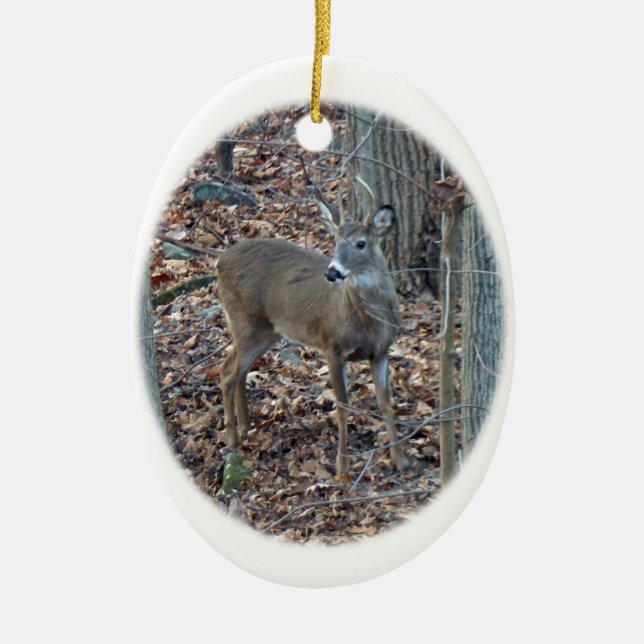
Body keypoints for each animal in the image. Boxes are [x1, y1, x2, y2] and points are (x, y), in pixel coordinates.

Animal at [216, 191, 409, 478]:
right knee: (227, 371)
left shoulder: (382, 351)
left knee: (239, 369)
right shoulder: (331, 345)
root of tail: (219, 261)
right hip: (246, 323)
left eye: (361, 243)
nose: (332, 272)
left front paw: (400, 460)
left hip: (267, 331)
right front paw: (342, 467)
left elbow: (386, 403)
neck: (368, 323)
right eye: (336, 241)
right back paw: (232, 439)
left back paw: (245, 427)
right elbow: (342, 405)